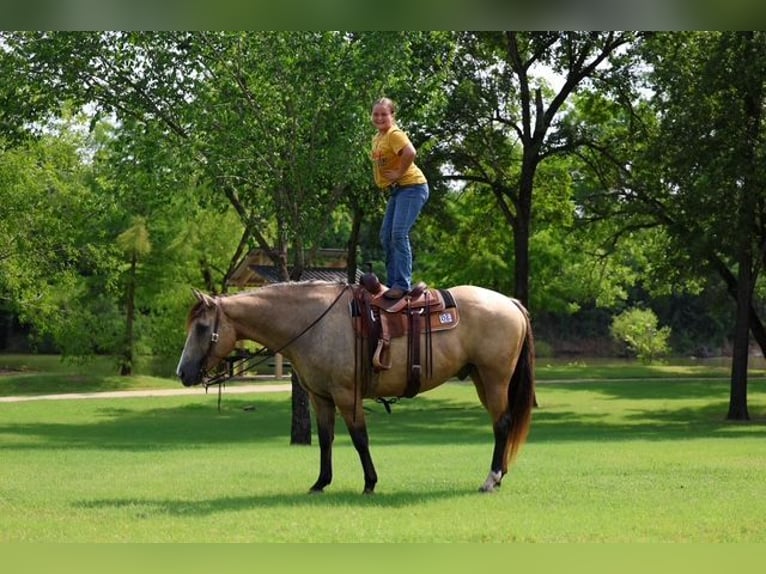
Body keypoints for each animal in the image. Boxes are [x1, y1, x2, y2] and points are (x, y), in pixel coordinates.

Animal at [176, 280, 535, 494]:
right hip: (481, 378)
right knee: (500, 424)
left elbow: (360, 438)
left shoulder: (347, 394)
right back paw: (499, 475)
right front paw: (321, 482)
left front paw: (370, 483)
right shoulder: (320, 397)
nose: (183, 372)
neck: (315, 323)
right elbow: (325, 439)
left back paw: (491, 478)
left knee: (502, 423)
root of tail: (510, 302)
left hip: (495, 378)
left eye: (203, 327)